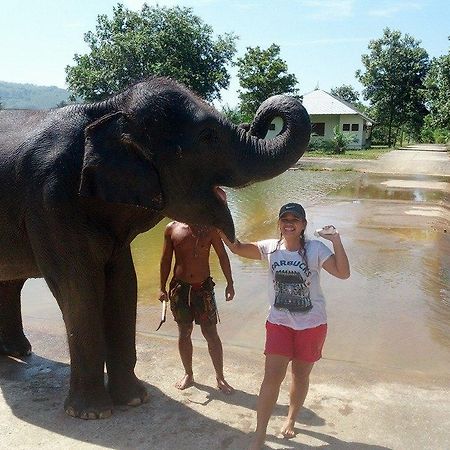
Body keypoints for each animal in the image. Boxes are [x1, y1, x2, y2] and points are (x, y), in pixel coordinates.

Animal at [0, 77, 310, 418]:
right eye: (207, 136)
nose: (261, 117)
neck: (106, 109)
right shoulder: (50, 200)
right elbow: (78, 287)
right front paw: (93, 413)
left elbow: (124, 284)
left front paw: (134, 400)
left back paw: (19, 352)